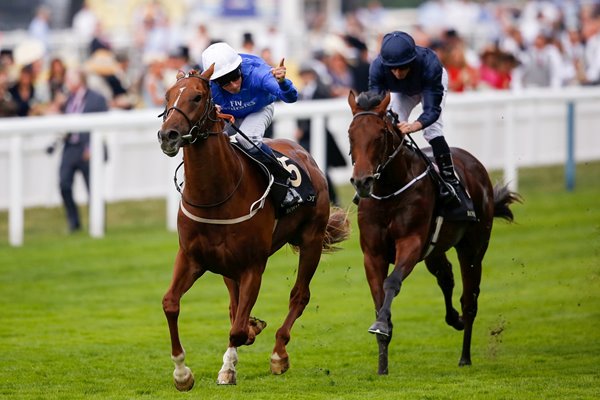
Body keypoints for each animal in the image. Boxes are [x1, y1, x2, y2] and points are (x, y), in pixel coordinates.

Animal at [157, 67, 350, 390]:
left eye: (197, 97)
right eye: (168, 96)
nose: (167, 135)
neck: (216, 195)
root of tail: (303, 151)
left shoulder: (253, 266)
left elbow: (236, 329)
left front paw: (246, 341)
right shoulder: (191, 258)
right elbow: (171, 304)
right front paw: (182, 373)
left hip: (311, 240)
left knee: (299, 295)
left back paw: (278, 354)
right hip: (228, 267)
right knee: (235, 306)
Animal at [346, 90, 520, 376]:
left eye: (380, 135)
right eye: (351, 134)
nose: (362, 182)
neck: (389, 191)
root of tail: (474, 163)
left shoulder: (411, 243)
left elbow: (392, 283)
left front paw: (381, 326)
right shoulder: (373, 254)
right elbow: (379, 298)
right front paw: (382, 363)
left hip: (473, 248)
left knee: (469, 299)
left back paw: (465, 355)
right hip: (434, 251)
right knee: (446, 277)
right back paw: (454, 320)